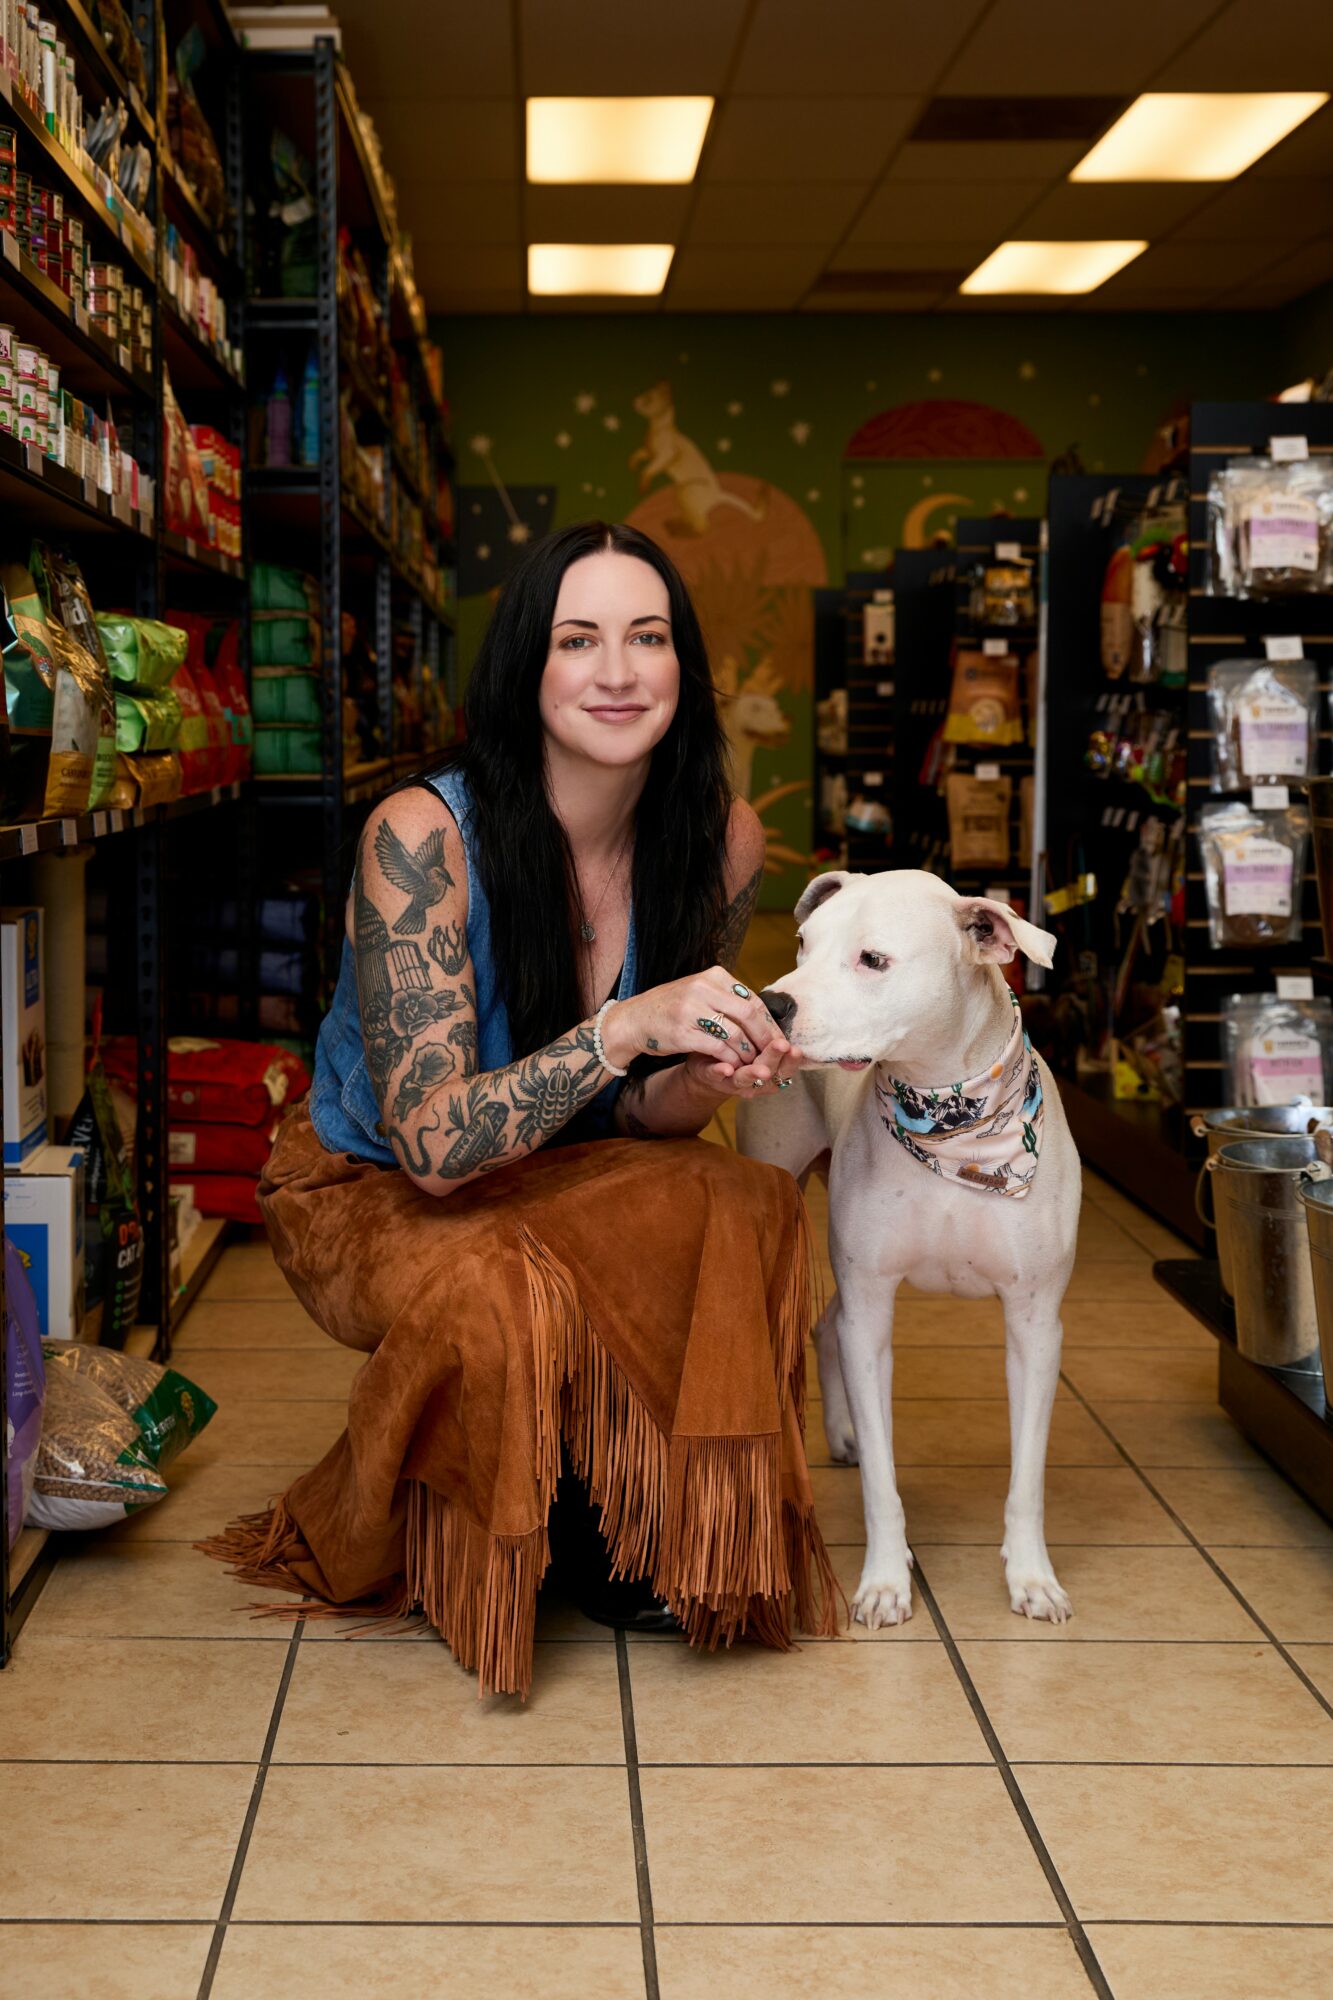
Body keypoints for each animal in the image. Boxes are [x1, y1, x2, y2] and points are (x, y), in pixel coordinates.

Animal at [738, 869, 1080, 1630]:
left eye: (873, 960)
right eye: (802, 945)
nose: (770, 1002)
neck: (950, 1119)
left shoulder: (1034, 1324)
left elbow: (1028, 1476)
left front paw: (1032, 1578)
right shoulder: (871, 1307)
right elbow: (882, 1484)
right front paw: (886, 1581)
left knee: (825, 1322)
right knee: (824, 1325)